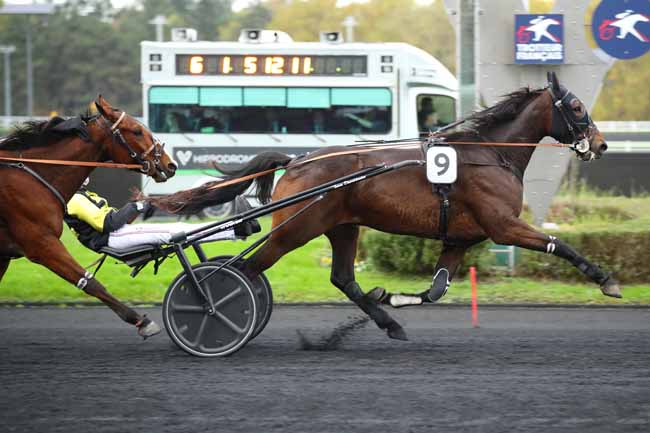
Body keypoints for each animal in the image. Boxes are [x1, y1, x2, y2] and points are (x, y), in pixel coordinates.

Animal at [0, 97, 176, 338]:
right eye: (137, 131)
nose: (170, 164)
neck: (32, 177)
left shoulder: (4, 255)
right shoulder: (41, 243)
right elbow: (89, 282)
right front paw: (141, 320)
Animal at [151, 72, 616, 340]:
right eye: (577, 106)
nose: (600, 144)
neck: (490, 154)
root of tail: (298, 160)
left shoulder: (461, 238)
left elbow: (435, 290)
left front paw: (392, 298)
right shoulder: (502, 225)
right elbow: (561, 245)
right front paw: (606, 280)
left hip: (342, 226)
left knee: (341, 278)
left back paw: (388, 323)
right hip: (296, 229)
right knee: (244, 272)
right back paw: (213, 313)